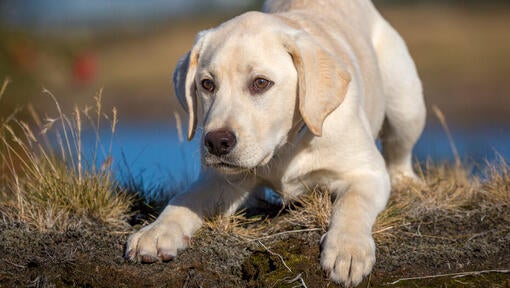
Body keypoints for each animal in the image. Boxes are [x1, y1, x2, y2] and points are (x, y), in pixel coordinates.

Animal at [125, 0, 424, 284]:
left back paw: (405, 182)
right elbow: (186, 197)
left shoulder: (367, 172)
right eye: (207, 84)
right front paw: (157, 231)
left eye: (260, 83)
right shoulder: (221, 180)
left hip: (406, 105)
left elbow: (352, 203)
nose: (216, 142)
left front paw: (347, 250)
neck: (285, 147)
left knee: (399, 153)